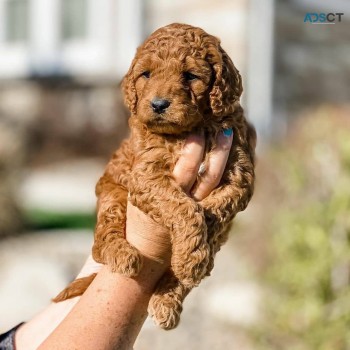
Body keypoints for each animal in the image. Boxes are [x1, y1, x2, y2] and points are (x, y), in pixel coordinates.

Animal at [54, 23, 258, 330]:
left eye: (190, 76)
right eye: (146, 74)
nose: (159, 104)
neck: (190, 129)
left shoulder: (239, 174)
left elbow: (215, 211)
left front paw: (191, 258)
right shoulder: (145, 176)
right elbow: (185, 207)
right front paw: (192, 254)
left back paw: (168, 298)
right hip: (112, 195)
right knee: (101, 241)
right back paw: (124, 255)